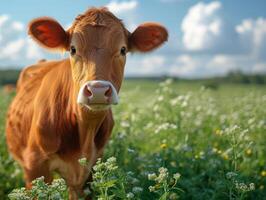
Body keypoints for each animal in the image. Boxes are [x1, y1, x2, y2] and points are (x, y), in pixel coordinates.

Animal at [5, 6, 167, 200]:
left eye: (122, 49)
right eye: (73, 49)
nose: (97, 91)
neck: (85, 131)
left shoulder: (93, 169)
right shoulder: (35, 166)